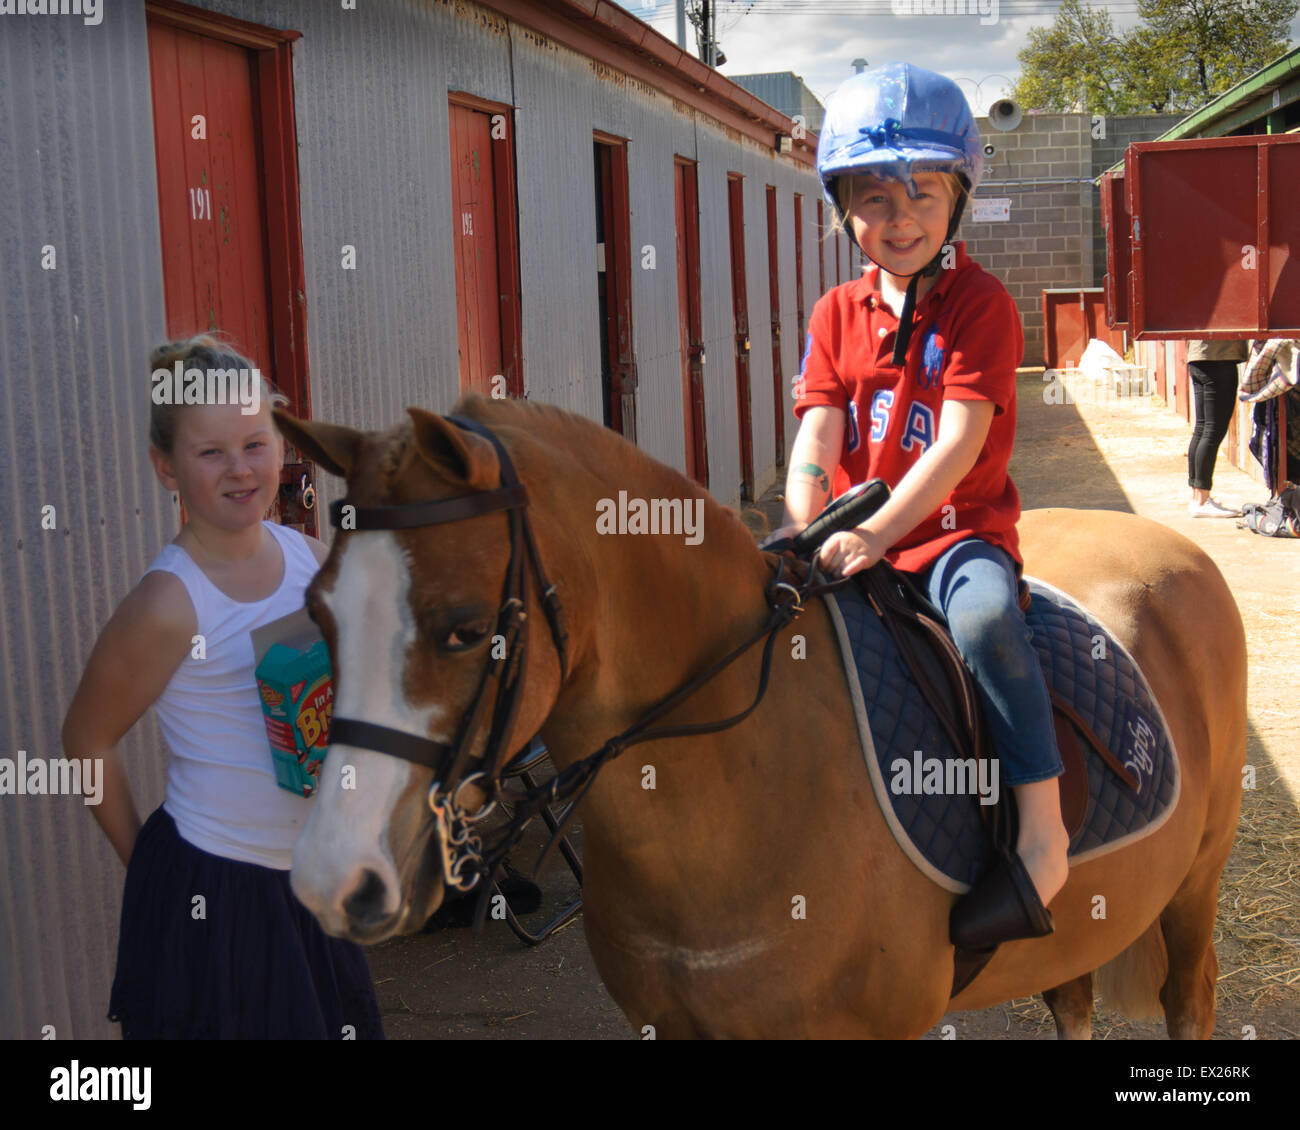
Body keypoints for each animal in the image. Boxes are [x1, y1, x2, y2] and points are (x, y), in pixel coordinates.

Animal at [276, 397, 1248, 1040]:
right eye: (320, 611)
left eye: (464, 628)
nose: (332, 880)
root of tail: (1177, 550)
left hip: (1197, 882)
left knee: (1187, 999)